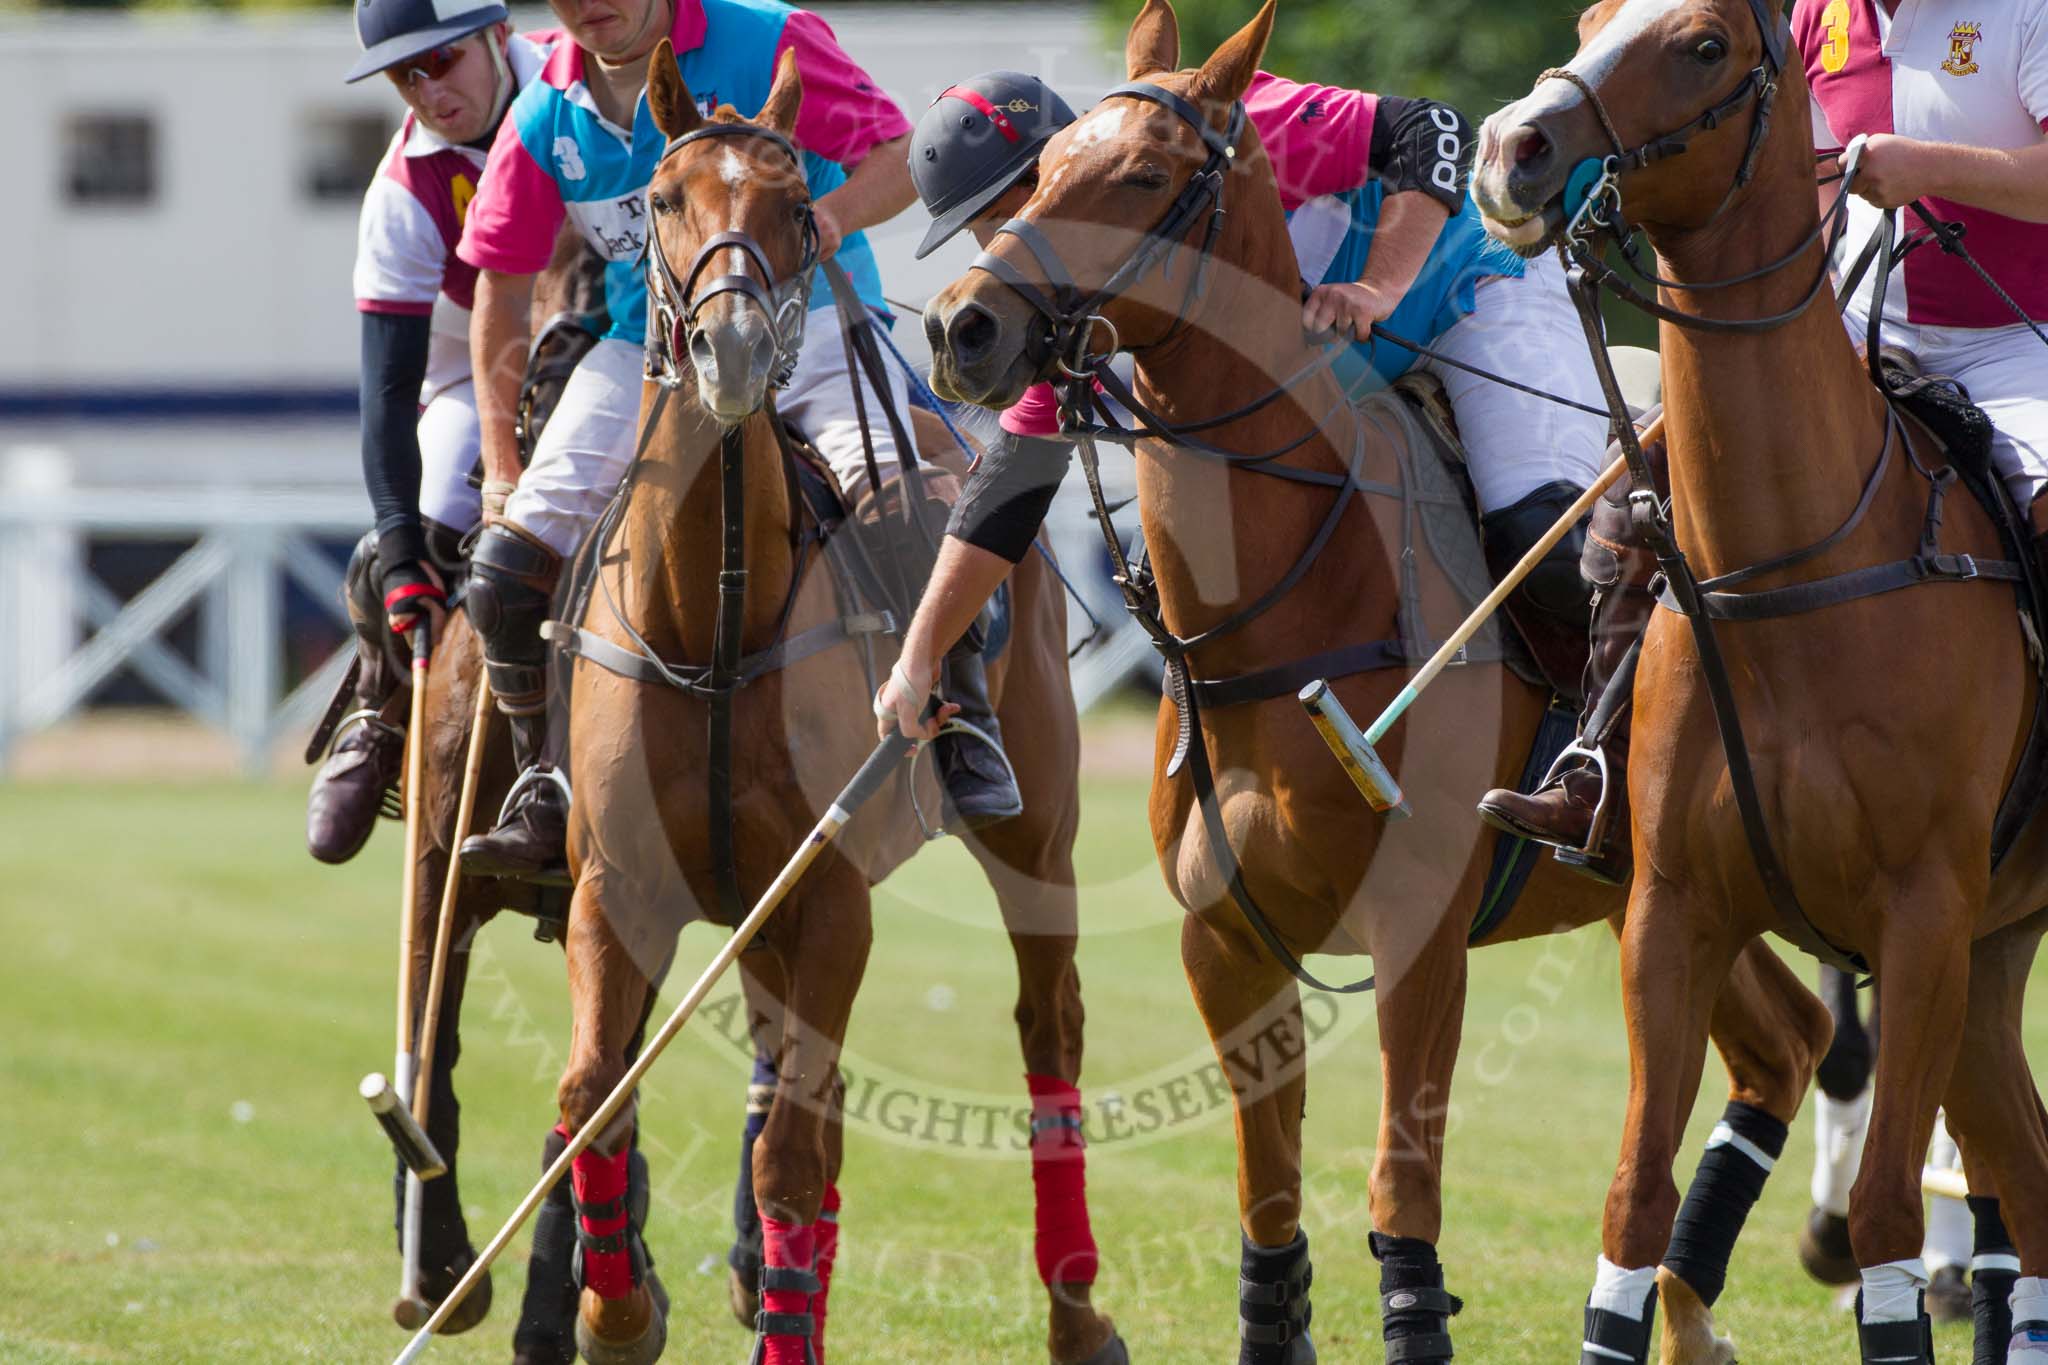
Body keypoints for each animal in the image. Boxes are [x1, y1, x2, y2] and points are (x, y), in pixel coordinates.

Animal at [528, 48, 1130, 1365]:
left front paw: (766, 1324)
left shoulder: (825, 895)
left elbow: (791, 1155)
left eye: (798, 206)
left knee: (1046, 1032)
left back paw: (1077, 1313)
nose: (736, 351)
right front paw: (615, 1313)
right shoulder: (619, 888)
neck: (708, 627)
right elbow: (594, 1090)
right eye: (662, 199)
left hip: (1035, 834)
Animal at [929, 5, 1843, 1358]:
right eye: (1041, 174)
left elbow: (1399, 1193)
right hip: (1660, 891)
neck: (1288, 606)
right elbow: (1267, 1206)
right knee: (1785, 1040)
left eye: (1142, 178)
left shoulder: (1420, 936)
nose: (961, 327)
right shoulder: (1226, 944)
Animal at [1474, 0, 2048, 1358]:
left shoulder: (1919, 917)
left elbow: (1887, 1218)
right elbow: (1634, 1200)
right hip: (1994, 956)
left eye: (1699, 46)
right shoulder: (1670, 909)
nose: (1512, 148)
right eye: (1589, 21)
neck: (1796, 562)